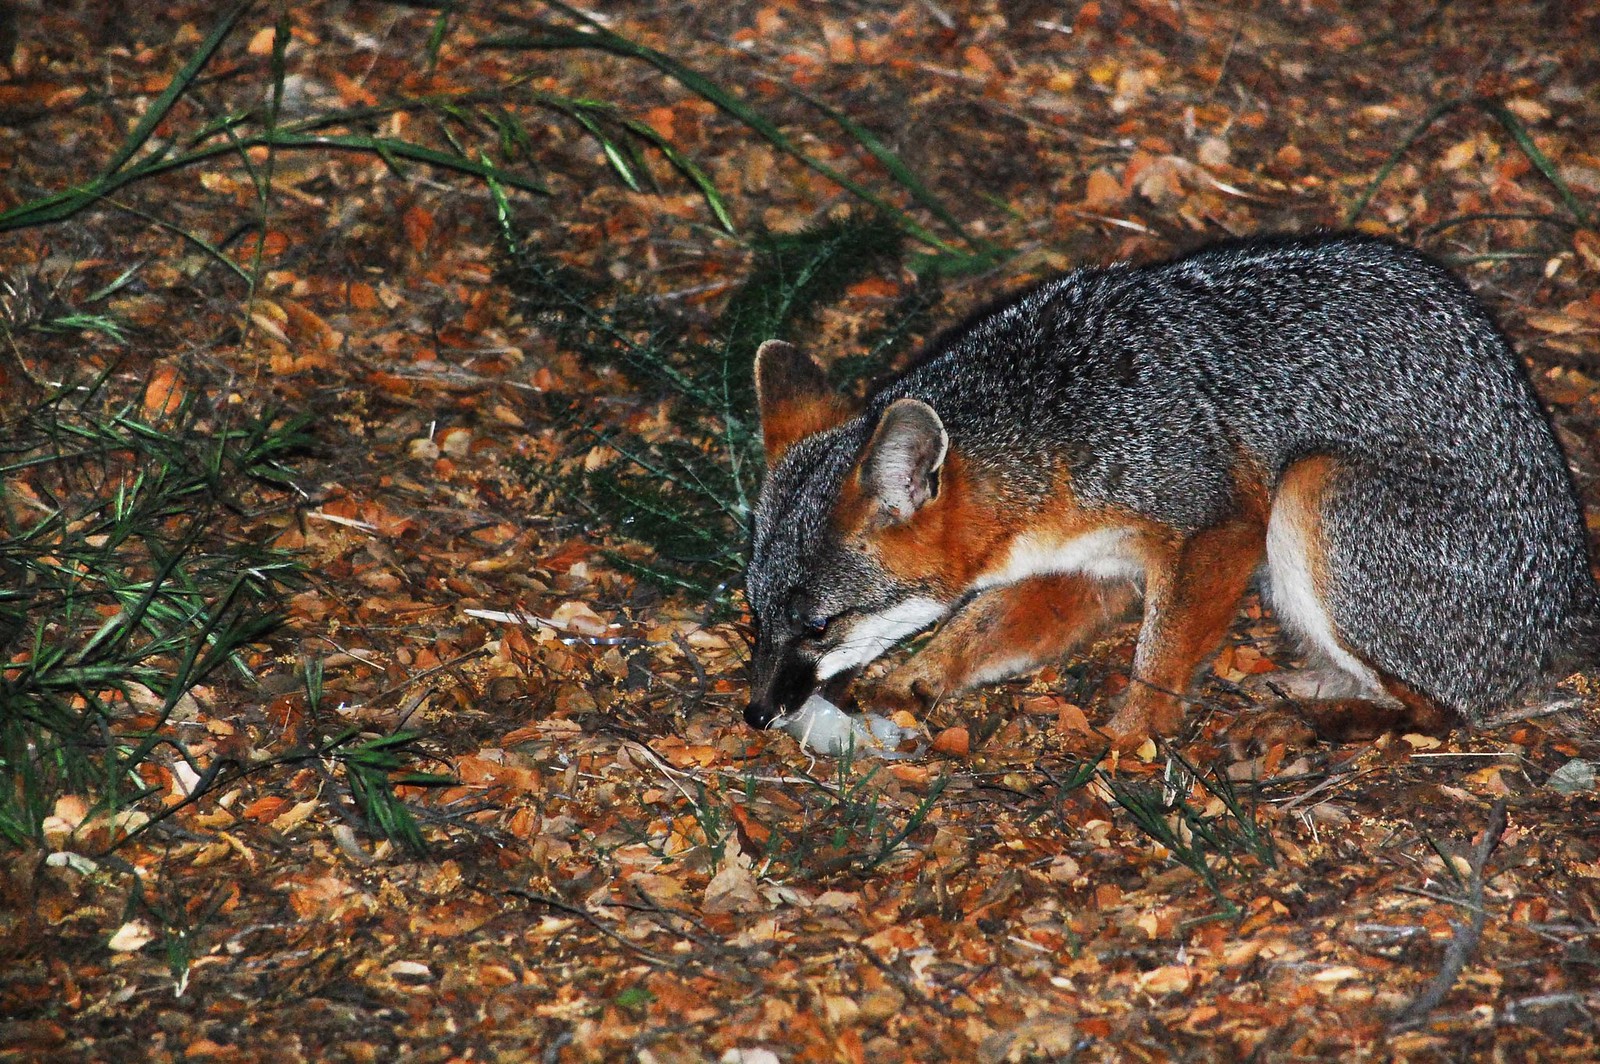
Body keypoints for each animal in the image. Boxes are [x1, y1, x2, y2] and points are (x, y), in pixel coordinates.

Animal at [742, 233, 1598, 749]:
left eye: (816, 625)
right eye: (754, 616)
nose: (754, 713)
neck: (1057, 415)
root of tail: (1568, 597)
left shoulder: (1216, 526)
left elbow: (1161, 653)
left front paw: (1130, 735)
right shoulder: (1092, 565)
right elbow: (984, 625)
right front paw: (915, 678)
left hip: (1310, 492)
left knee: (1439, 710)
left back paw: (1315, 720)